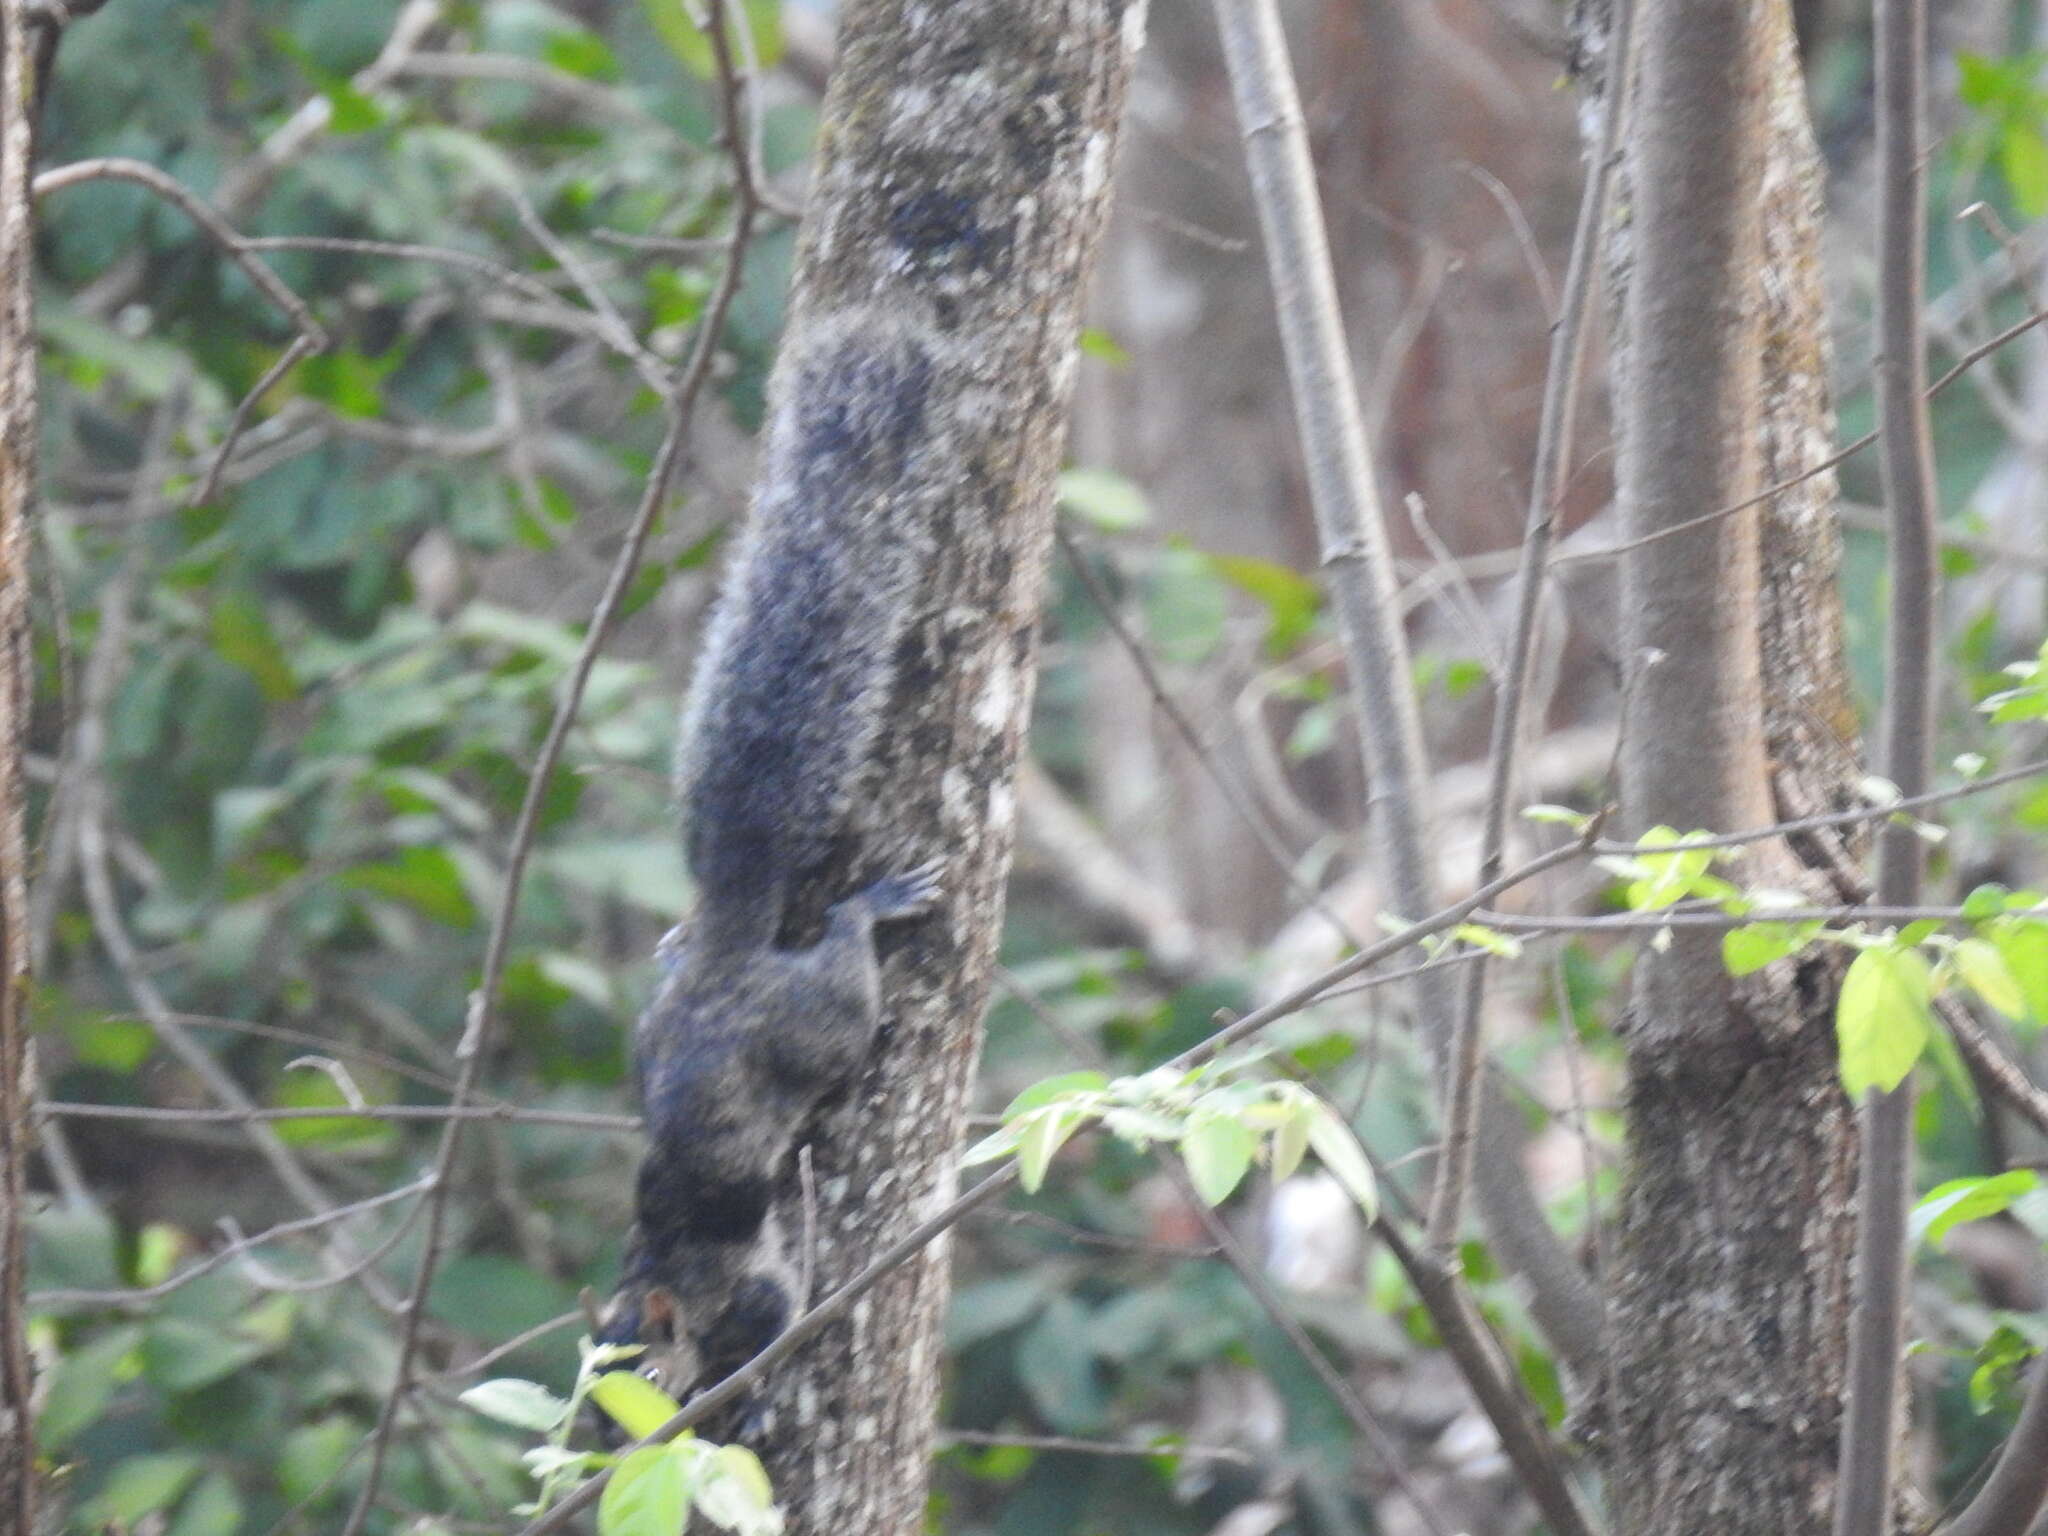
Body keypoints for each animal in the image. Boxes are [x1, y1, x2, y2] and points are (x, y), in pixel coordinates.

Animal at [593, 309, 942, 1409]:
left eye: (643, 1376)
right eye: (582, 1397)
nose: (606, 1440)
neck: (660, 1270)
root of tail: (726, 950)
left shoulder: (751, 1289)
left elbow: (773, 1314)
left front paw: (734, 1393)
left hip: (816, 1019)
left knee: (845, 980)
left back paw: (867, 908)